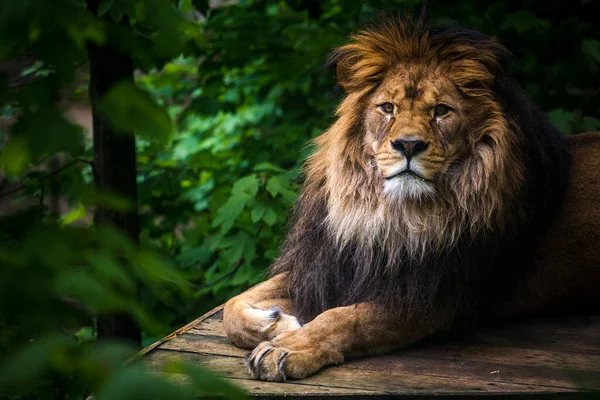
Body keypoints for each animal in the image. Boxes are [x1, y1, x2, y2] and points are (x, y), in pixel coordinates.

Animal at [221, 15, 600, 382]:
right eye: (388, 108)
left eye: (442, 111)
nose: (408, 145)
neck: (387, 214)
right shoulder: (330, 266)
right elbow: (231, 306)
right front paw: (276, 323)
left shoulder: (429, 298)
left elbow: (343, 318)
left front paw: (288, 348)